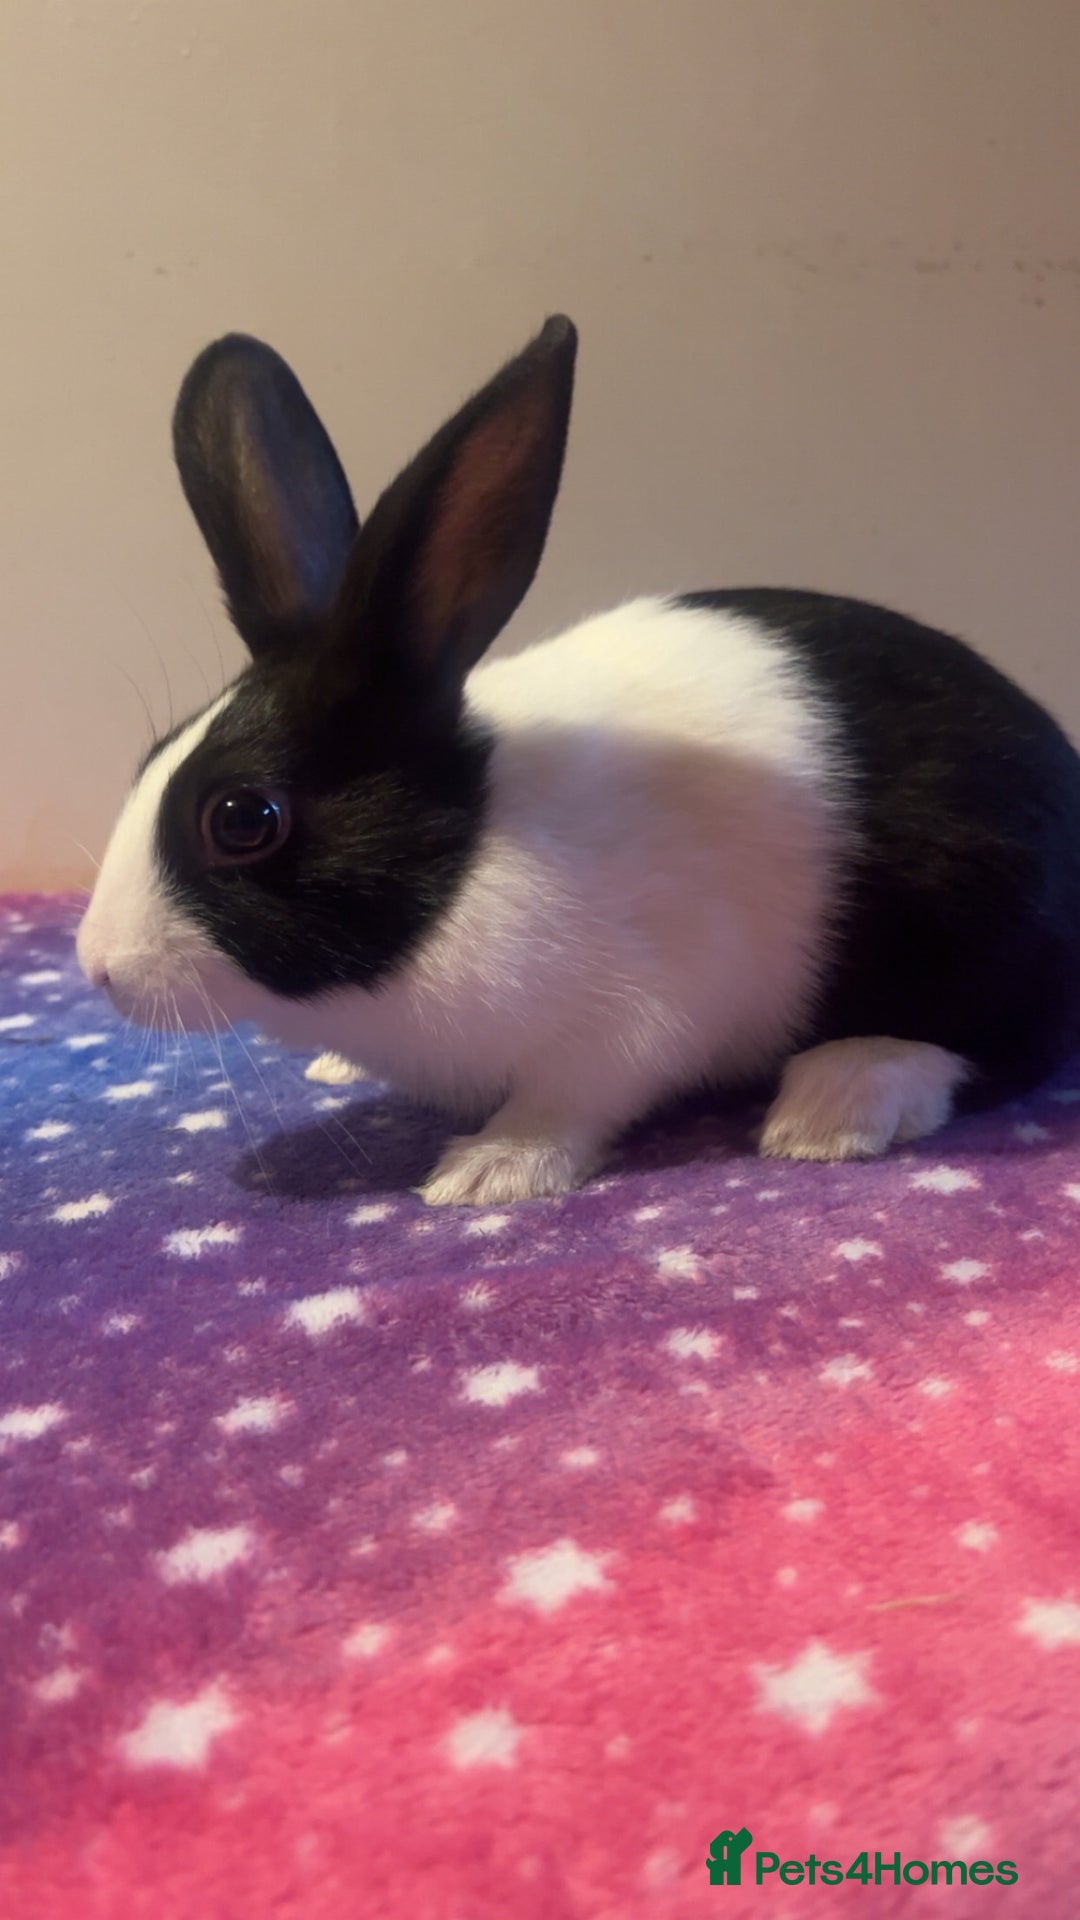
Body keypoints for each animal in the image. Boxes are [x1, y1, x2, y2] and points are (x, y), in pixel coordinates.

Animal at [76, 315, 1080, 1206]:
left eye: (244, 819)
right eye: (149, 760)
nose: (98, 968)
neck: (469, 853)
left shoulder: (634, 1017)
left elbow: (570, 1101)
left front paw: (487, 1172)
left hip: (982, 913)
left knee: (1006, 1045)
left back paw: (834, 1104)